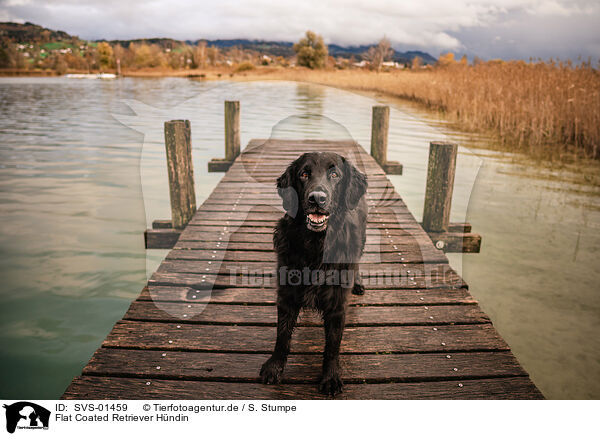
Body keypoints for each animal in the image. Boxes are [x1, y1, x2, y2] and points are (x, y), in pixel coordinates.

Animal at [260, 152, 368, 396]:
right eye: (304, 174)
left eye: (335, 174)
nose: (316, 198)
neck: (315, 245)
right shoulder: (287, 294)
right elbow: (282, 336)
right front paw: (274, 367)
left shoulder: (337, 303)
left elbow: (332, 346)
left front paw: (331, 377)